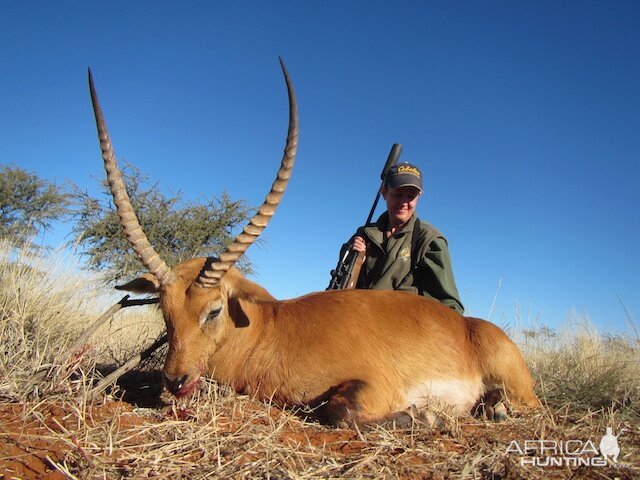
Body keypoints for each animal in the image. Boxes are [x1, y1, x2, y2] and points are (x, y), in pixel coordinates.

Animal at [89, 59, 540, 428]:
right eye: (165, 312)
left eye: (213, 309)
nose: (176, 380)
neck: (270, 331)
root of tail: (470, 325)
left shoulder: (375, 385)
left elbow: (340, 411)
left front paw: (428, 416)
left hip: (516, 386)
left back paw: (495, 410)